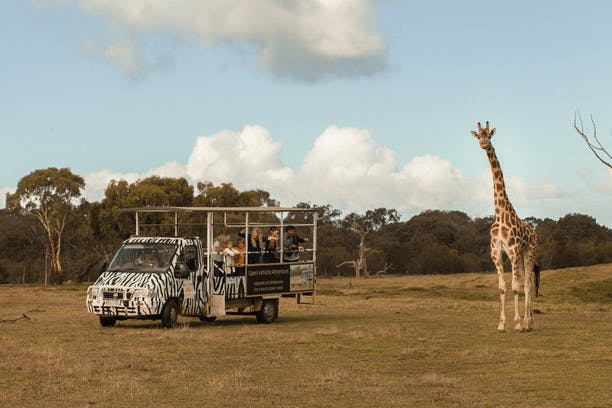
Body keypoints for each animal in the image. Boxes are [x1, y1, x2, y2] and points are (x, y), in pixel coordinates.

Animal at [470, 120, 536, 332]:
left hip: (529, 251)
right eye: (478, 135)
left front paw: (517, 324)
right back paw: (529, 321)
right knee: (526, 281)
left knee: (528, 283)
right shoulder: (496, 251)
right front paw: (501, 324)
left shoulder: (513, 250)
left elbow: (515, 286)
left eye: (489, 135)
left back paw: (528, 322)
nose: (483, 144)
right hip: (522, 255)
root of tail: (534, 232)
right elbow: (502, 287)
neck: (500, 212)